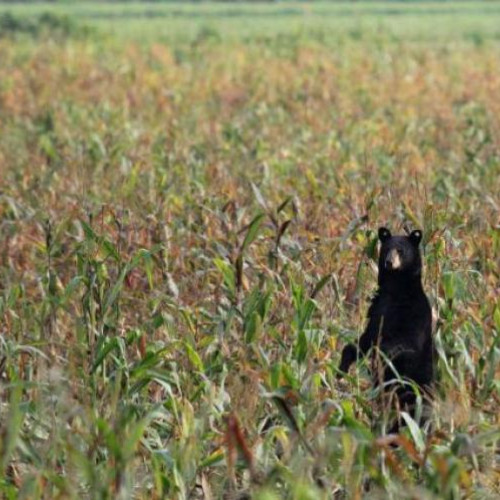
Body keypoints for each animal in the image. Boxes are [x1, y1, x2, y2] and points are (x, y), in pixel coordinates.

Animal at [340, 229, 434, 428]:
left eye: (401, 250)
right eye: (386, 249)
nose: (389, 262)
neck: (396, 289)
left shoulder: (416, 314)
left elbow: (407, 341)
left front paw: (380, 356)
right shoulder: (376, 311)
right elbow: (364, 340)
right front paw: (342, 368)